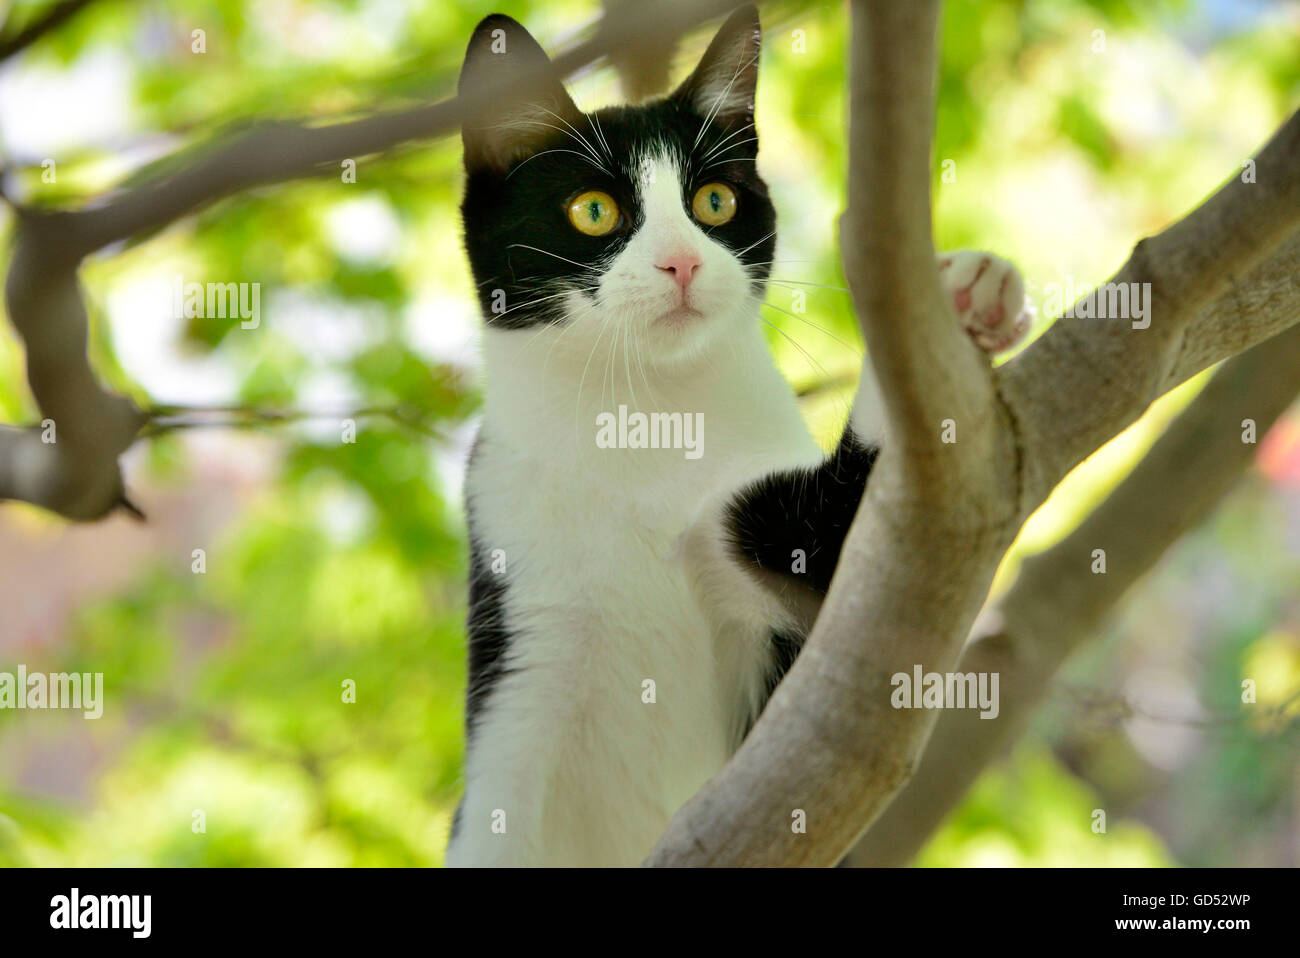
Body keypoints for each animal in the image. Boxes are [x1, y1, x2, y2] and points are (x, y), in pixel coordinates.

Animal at [444, 3, 1024, 868]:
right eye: (593, 210)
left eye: (714, 201)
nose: (682, 262)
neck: (648, 426)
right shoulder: (522, 637)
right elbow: (497, 814)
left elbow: (820, 536)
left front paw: (955, 303)